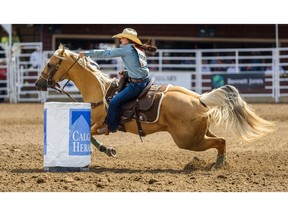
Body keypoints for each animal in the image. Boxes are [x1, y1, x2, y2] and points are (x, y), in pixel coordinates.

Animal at [35, 44, 276, 170]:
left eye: (50, 63)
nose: (38, 83)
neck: (100, 90)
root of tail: (200, 100)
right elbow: (91, 136)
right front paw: (108, 150)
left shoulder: (101, 123)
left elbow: (91, 135)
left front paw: (107, 149)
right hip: (199, 134)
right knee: (220, 140)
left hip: (188, 141)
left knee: (221, 141)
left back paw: (218, 165)